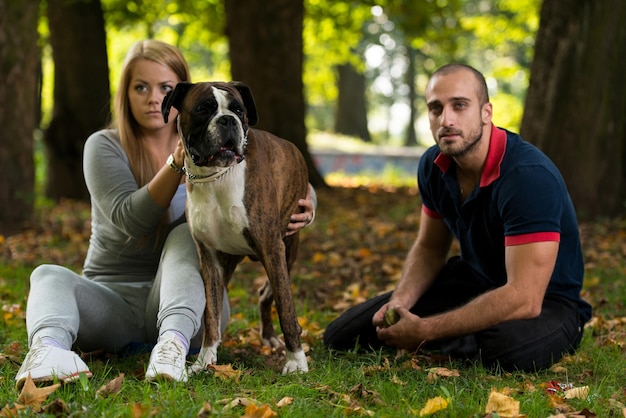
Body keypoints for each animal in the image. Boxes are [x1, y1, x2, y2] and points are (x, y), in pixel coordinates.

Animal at [161, 80, 308, 374]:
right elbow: (211, 314)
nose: (228, 120)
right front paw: (205, 359)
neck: (216, 177)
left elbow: (286, 307)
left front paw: (296, 361)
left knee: (271, 292)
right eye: (203, 109)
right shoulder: (210, 260)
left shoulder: (271, 247)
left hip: (286, 251)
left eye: (239, 110)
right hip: (233, 262)